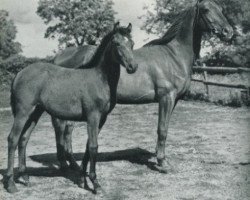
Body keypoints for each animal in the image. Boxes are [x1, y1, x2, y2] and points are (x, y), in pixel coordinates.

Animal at [4, 22, 138, 193]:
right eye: (117, 43)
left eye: (132, 43)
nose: (133, 67)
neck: (99, 78)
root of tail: (19, 73)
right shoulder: (93, 116)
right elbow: (93, 147)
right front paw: (95, 183)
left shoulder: (102, 119)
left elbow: (88, 146)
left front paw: (82, 179)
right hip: (23, 112)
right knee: (13, 139)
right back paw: (10, 184)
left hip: (35, 112)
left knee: (24, 138)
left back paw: (25, 177)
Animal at [51, 0, 233, 175]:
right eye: (206, 10)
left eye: (221, 9)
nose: (228, 32)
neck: (174, 56)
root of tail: (58, 57)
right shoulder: (166, 98)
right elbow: (162, 129)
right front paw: (162, 163)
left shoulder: (173, 100)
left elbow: (165, 127)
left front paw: (160, 156)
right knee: (64, 129)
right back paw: (67, 164)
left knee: (65, 130)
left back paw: (71, 164)